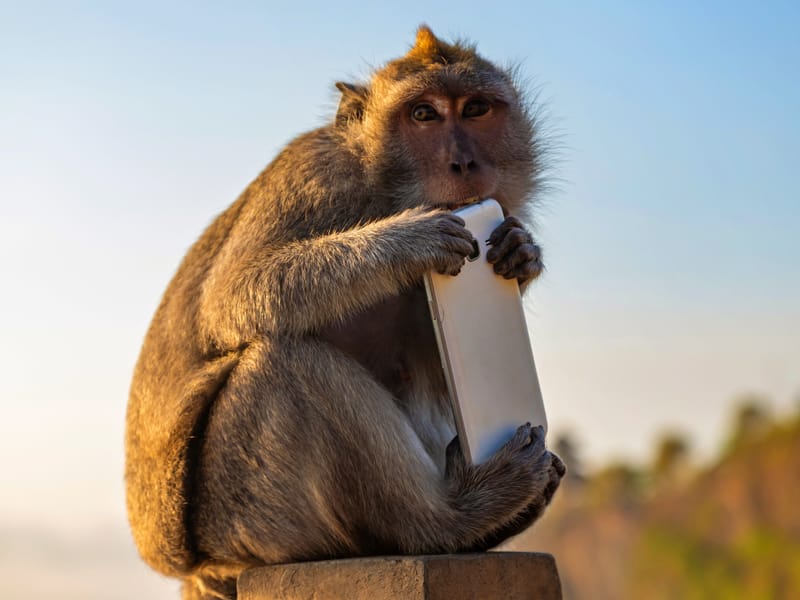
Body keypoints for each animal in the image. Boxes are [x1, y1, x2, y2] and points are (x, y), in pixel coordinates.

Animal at [125, 26, 565, 600]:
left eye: (475, 109)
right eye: (423, 114)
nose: (465, 164)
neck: (382, 190)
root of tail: (197, 568)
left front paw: (522, 253)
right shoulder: (314, 176)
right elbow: (231, 298)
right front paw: (408, 241)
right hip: (250, 519)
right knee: (283, 364)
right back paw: (450, 519)